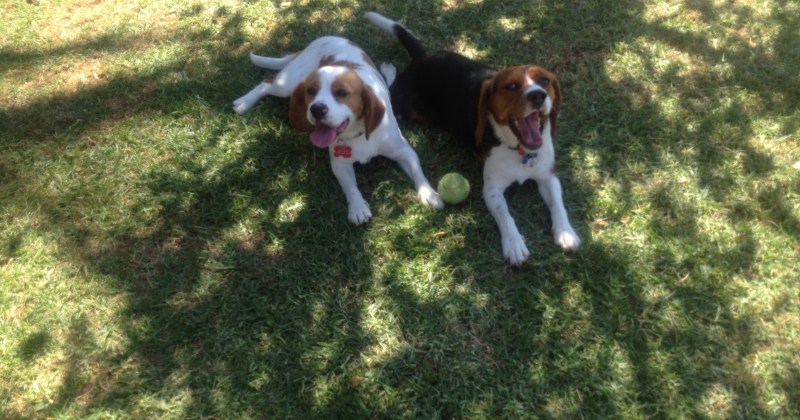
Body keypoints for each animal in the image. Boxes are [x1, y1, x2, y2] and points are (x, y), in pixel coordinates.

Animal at [233, 36, 443, 225]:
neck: (358, 135)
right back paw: (244, 102)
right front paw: (357, 207)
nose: (316, 109)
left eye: (341, 93)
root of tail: (324, 38)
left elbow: (418, 172)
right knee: (266, 84)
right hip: (287, 84)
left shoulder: (404, 151)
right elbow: (350, 187)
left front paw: (430, 194)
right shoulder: (340, 164)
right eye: (311, 91)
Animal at [366, 13, 580, 265]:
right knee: (388, 90)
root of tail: (425, 55)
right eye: (512, 85)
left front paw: (566, 232)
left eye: (545, 81)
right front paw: (513, 243)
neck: (519, 150)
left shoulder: (548, 176)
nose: (538, 95)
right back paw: (386, 70)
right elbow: (505, 214)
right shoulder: (492, 189)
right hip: (403, 108)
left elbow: (558, 203)